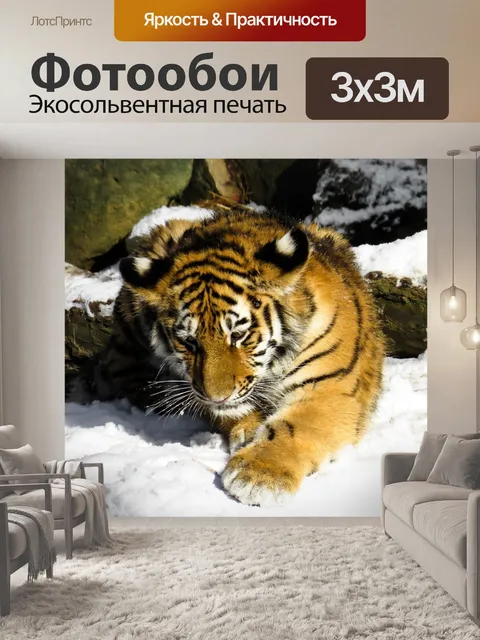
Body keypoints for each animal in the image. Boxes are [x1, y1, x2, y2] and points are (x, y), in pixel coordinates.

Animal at [95, 209, 385, 507]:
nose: (217, 398)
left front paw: (258, 475)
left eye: (238, 335)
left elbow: (296, 427)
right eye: (189, 341)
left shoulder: (330, 386)